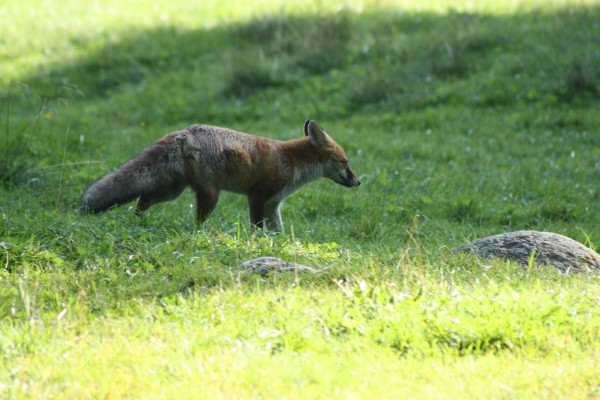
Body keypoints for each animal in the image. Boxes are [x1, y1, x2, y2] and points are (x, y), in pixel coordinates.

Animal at [81, 119, 360, 231]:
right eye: (345, 162)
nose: (358, 181)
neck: (291, 162)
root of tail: (185, 132)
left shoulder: (273, 204)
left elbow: (278, 231)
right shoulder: (257, 196)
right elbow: (256, 227)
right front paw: (256, 243)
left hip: (171, 192)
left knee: (142, 199)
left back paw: (136, 223)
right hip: (210, 195)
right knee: (195, 224)